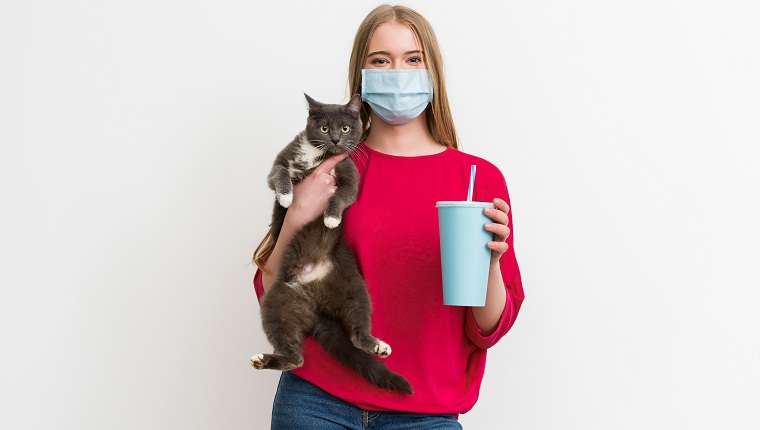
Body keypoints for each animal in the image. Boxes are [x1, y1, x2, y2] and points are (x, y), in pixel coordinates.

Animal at [252, 93, 412, 394]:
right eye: (325, 128)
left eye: (346, 128)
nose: (337, 139)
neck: (319, 157)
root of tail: (317, 306)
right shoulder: (280, 163)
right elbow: (279, 175)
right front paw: (287, 198)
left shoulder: (349, 175)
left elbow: (341, 195)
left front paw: (330, 219)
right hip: (277, 303)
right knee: (295, 357)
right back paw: (264, 359)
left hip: (355, 288)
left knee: (357, 328)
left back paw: (377, 346)